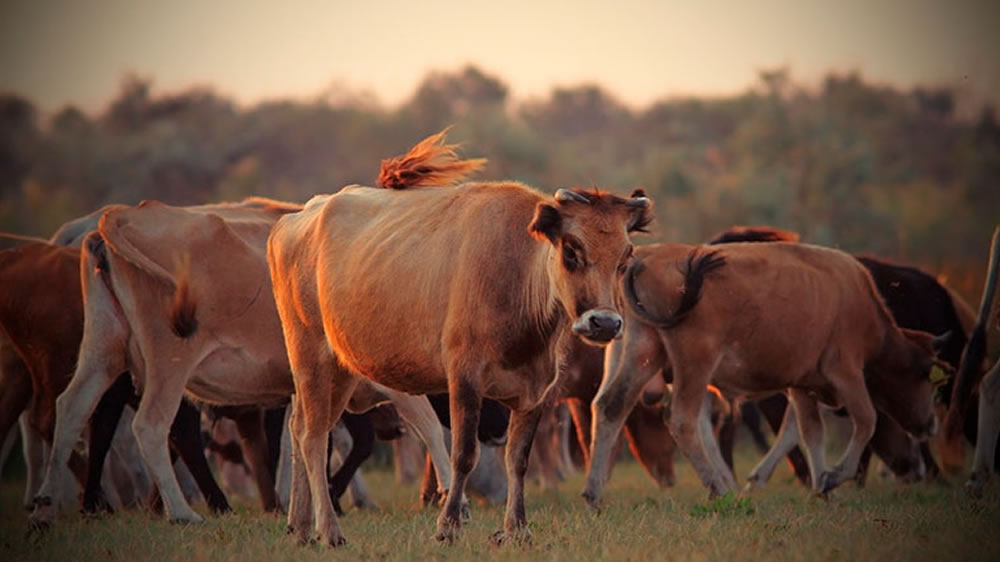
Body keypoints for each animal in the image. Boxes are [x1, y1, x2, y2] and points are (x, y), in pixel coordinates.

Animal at [270, 130, 652, 544]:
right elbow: (464, 453)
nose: (605, 323)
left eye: (625, 255)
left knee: (303, 429)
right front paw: (449, 524)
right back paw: (329, 529)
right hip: (309, 356)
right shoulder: (464, 378)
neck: (516, 274)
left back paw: (300, 527)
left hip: (340, 372)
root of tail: (297, 218)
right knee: (312, 437)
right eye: (571, 249)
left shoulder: (536, 390)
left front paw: (516, 529)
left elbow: (518, 459)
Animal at [584, 238, 940, 500]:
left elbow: (809, 431)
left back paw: (593, 493)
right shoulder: (847, 372)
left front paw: (822, 486)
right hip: (695, 363)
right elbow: (866, 419)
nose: (930, 425)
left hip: (639, 352)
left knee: (610, 407)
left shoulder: (801, 385)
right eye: (926, 376)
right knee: (682, 419)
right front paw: (833, 477)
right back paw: (719, 488)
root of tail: (643, 258)